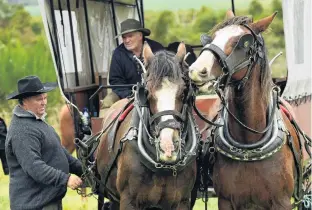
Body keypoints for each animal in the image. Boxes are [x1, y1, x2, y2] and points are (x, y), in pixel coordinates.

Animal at [188, 12, 310, 210]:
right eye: (213, 37)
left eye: (243, 43)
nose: (196, 70)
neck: (249, 143)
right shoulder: (226, 201)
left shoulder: (281, 202)